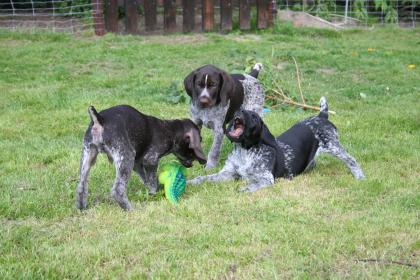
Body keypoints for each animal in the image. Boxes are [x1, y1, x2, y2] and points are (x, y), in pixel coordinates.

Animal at [76, 105, 208, 210]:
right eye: (198, 141)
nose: (197, 163)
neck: (169, 130)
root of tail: (99, 119)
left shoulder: (137, 164)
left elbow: (146, 179)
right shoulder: (150, 160)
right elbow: (151, 180)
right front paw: (155, 194)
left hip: (88, 156)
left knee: (81, 186)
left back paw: (82, 208)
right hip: (126, 157)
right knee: (118, 190)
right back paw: (130, 209)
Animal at [189, 97, 366, 191]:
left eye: (254, 117)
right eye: (242, 111)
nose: (240, 111)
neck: (244, 151)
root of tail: (321, 116)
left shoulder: (266, 179)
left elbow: (253, 183)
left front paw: (244, 188)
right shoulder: (228, 173)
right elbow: (204, 177)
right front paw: (193, 181)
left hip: (333, 145)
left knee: (351, 160)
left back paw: (360, 176)